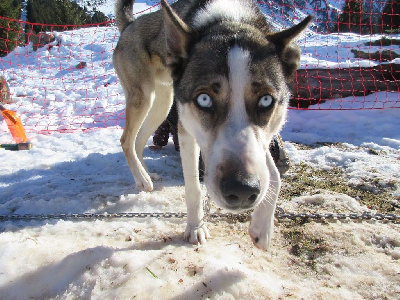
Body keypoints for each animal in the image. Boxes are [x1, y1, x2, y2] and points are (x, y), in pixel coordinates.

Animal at [113, 0, 312, 251]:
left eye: (266, 100)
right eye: (204, 99)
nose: (242, 189)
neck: (229, 20)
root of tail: (130, 24)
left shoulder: (262, 140)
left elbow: (274, 175)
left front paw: (263, 229)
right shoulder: (186, 131)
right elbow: (194, 187)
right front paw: (195, 227)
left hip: (163, 102)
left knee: (138, 141)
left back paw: (145, 176)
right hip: (143, 97)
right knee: (126, 140)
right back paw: (141, 178)